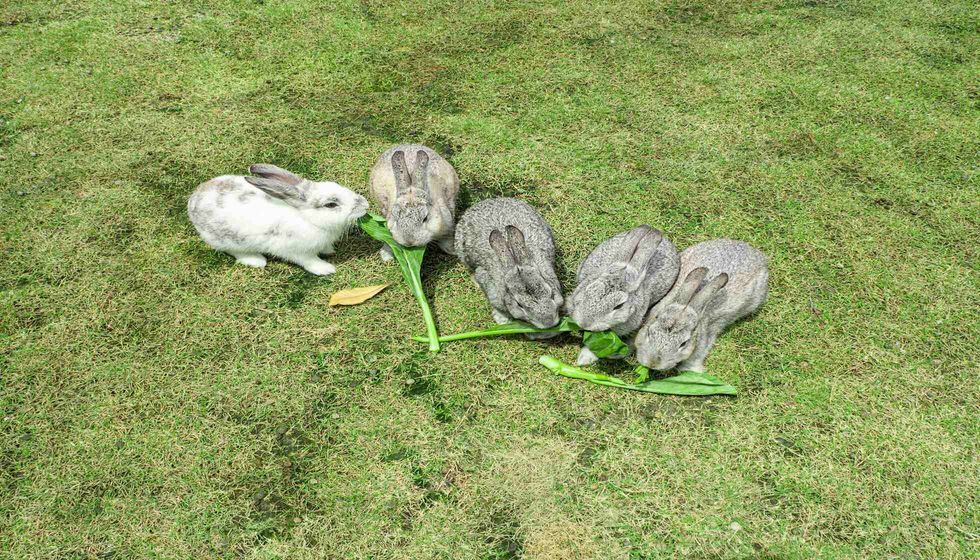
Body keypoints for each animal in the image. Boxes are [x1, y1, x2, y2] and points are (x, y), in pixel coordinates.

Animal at [187, 164, 369, 275]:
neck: (308, 219)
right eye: (331, 205)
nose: (365, 205)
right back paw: (256, 261)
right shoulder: (298, 252)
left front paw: (329, 250)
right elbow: (310, 261)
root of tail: (193, 201)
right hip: (228, 240)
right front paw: (326, 269)